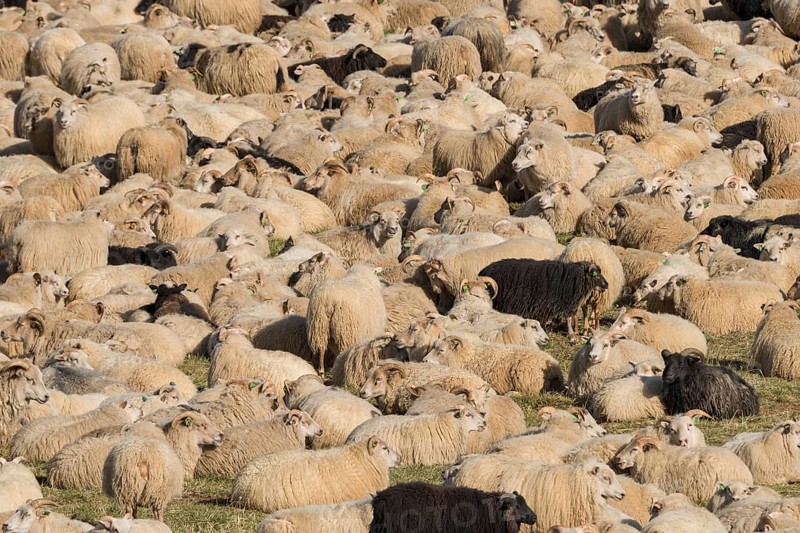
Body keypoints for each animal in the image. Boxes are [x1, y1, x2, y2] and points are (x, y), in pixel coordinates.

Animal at [478, 259, 609, 340]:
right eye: (596, 274)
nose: (606, 285)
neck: (572, 279)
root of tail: (483, 271)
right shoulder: (552, 303)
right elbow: (567, 318)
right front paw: (571, 336)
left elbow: (567, 317)